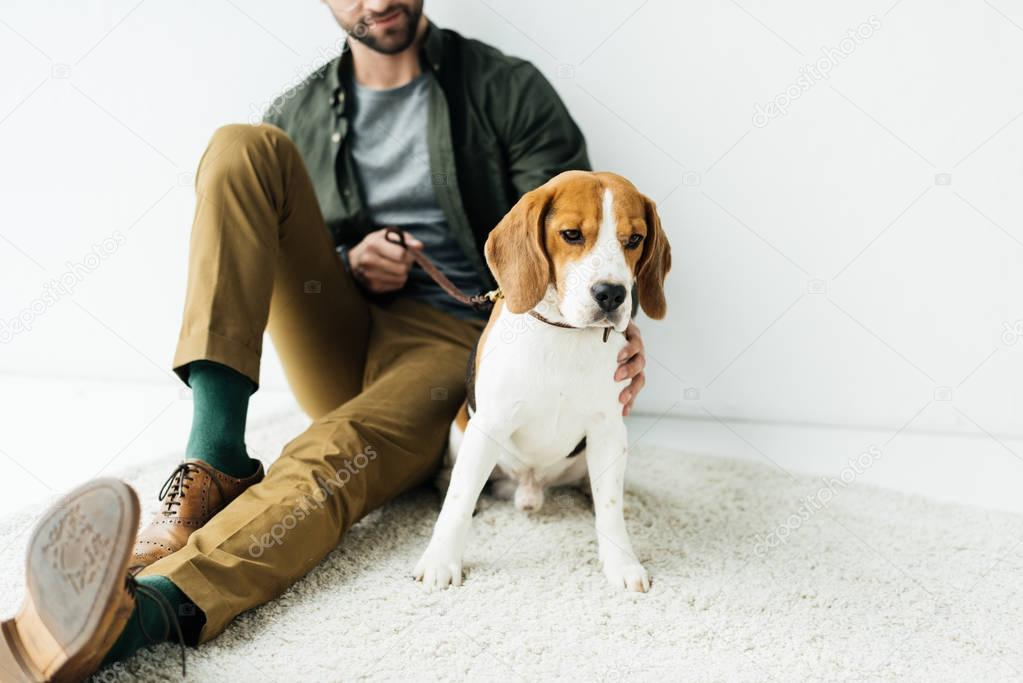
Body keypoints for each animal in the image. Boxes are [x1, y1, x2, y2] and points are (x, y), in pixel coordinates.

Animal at [415, 170, 671, 593]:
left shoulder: (607, 429)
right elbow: (459, 500)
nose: (612, 294)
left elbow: (610, 508)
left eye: (634, 239)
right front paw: (441, 560)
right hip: (461, 428)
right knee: (456, 480)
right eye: (571, 234)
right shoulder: (488, 426)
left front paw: (621, 563)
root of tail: (530, 487)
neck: (564, 331)